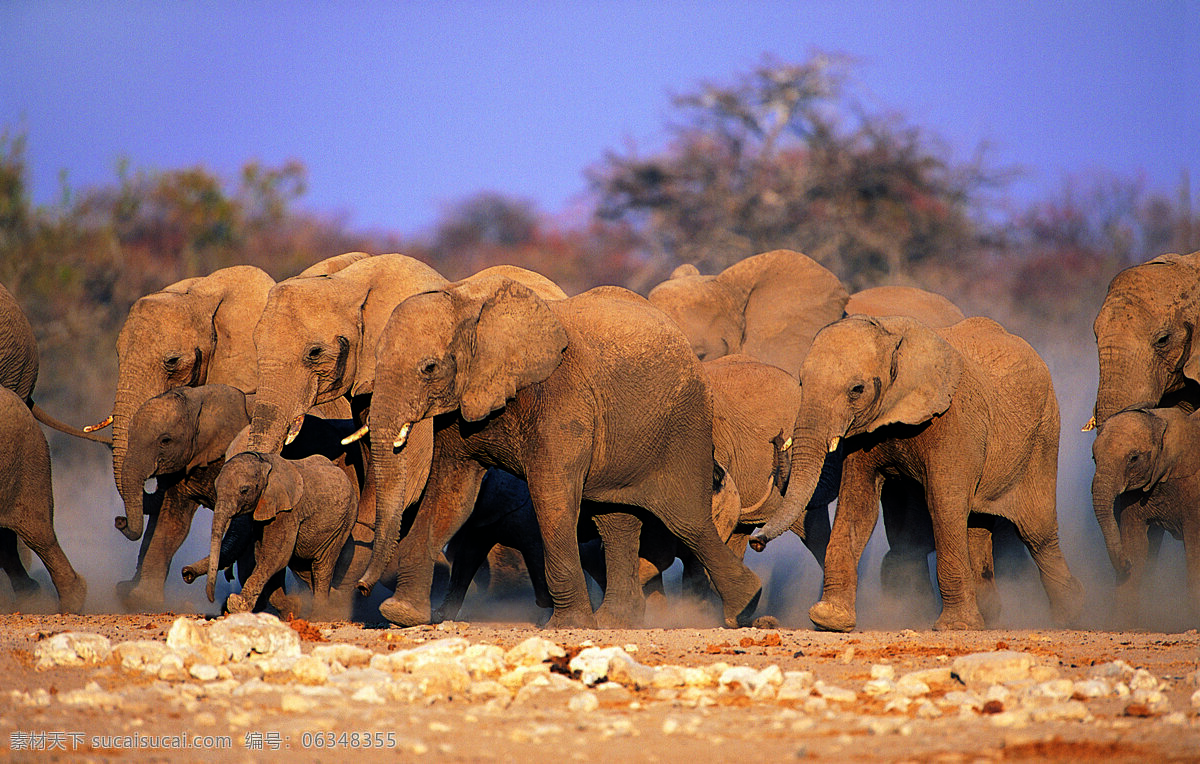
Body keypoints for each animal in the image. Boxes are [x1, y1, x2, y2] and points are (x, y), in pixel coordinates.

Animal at [207, 452, 357, 618]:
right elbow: (263, 556)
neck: (265, 462)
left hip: (345, 521)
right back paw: (335, 603)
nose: (212, 599)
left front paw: (237, 605)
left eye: (244, 490)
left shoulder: (288, 511)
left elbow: (275, 556)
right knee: (303, 569)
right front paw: (291, 610)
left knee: (322, 566)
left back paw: (320, 615)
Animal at [360, 277, 763, 629]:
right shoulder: (460, 409)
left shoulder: (561, 400)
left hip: (684, 426)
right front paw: (401, 614)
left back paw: (744, 607)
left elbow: (552, 496)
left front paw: (568, 626)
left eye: (429, 368)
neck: (470, 300)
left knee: (687, 520)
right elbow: (450, 495)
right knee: (615, 521)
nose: (363, 588)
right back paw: (615, 622)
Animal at [748, 315, 1084, 631]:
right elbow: (857, 507)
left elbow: (943, 505)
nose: (756, 543)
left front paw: (956, 627)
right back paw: (991, 618)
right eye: (801, 384)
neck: (894, 335)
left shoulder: (951, 420)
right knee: (976, 525)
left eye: (857, 390)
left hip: (1043, 435)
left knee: (1037, 532)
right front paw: (829, 618)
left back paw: (1071, 615)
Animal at [1091, 405, 1200, 623]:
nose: (1126, 564)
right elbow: (1136, 543)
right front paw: (1122, 624)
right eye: (1093, 458)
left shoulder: (1194, 492)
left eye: (1134, 458)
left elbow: (1194, 546)